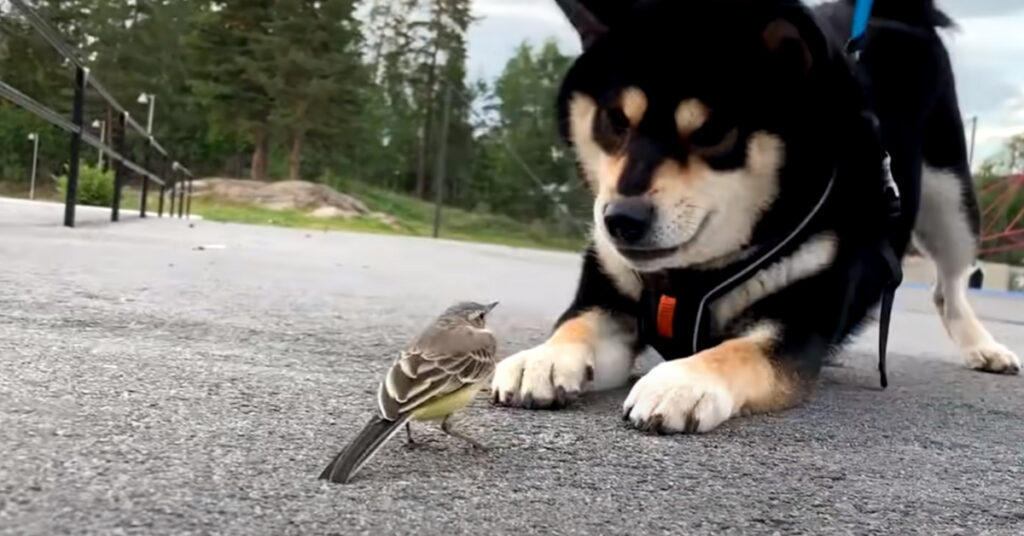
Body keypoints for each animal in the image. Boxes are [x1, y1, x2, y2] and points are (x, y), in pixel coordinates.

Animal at [487, 0, 1015, 434]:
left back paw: (985, 347)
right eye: (615, 121)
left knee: (950, 284)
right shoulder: (609, 298)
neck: (692, 274)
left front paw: (683, 379)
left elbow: (739, 349)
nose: (622, 218)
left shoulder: (796, 323)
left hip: (952, 199)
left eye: (712, 132)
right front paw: (544, 357)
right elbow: (576, 325)